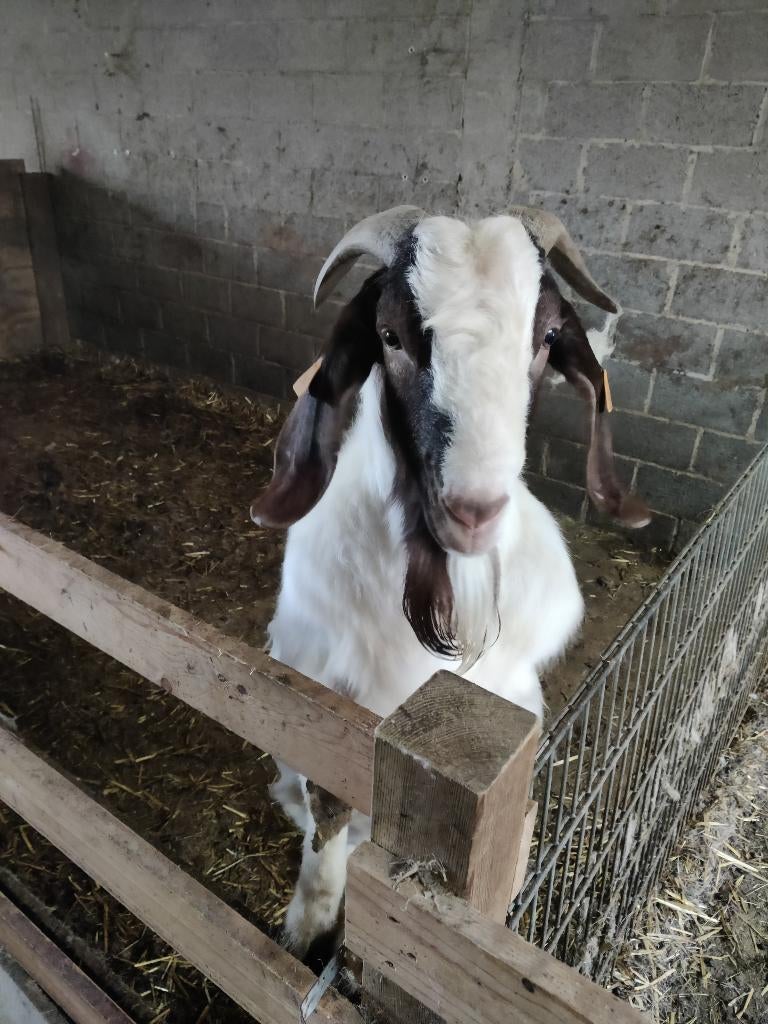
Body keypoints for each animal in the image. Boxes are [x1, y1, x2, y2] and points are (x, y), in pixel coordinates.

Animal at [250, 207, 650, 957]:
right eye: (390, 336)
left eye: (546, 337)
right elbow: (328, 819)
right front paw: (308, 929)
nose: (474, 511)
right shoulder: (321, 705)